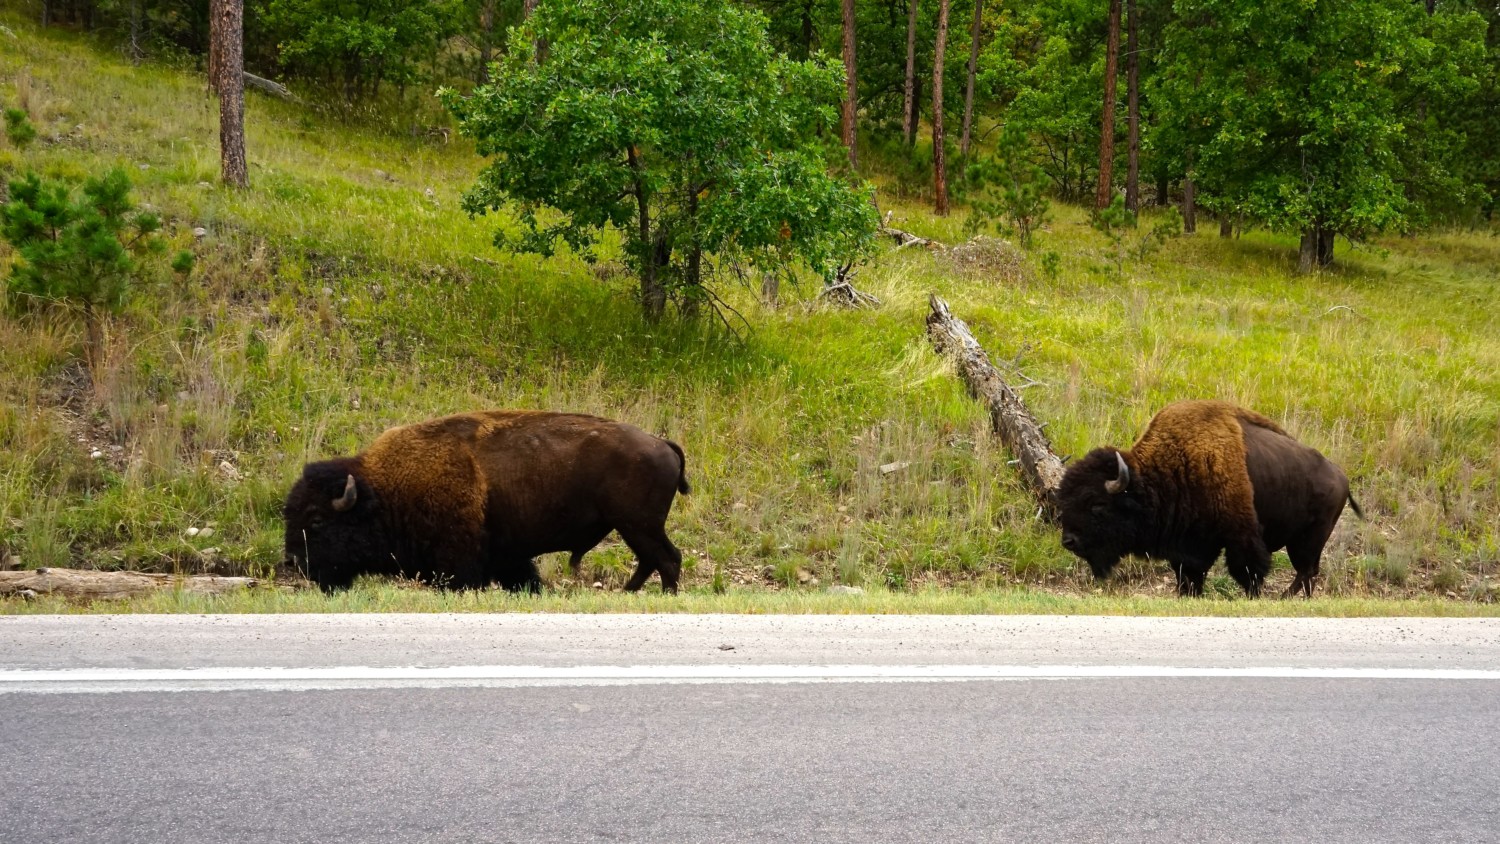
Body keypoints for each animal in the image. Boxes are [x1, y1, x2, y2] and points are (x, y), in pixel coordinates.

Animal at [282, 410, 690, 593]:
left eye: (316, 520)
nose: (293, 562)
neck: (384, 489)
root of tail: (661, 442)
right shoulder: (508, 555)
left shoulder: (460, 560)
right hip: (634, 527)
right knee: (652, 560)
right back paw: (629, 593)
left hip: (638, 525)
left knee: (667, 558)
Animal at [1056, 398, 1362, 596]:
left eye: (1097, 505)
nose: (1069, 541)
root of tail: (1341, 476)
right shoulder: (1189, 544)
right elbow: (1189, 576)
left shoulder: (1241, 537)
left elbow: (1248, 572)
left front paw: (1252, 597)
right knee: (1308, 572)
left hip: (1309, 539)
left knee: (1306, 571)